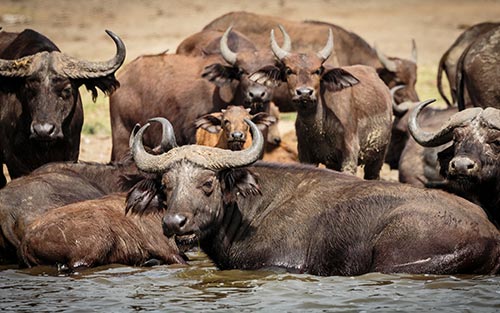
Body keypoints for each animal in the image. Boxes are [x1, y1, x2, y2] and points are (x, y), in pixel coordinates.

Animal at [252, 28, 392, 179]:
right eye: (289, 70)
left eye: (318, 70)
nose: (304, 93)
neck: (320, 127)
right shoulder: (306, 155)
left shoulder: (349, 156)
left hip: (378, 157)